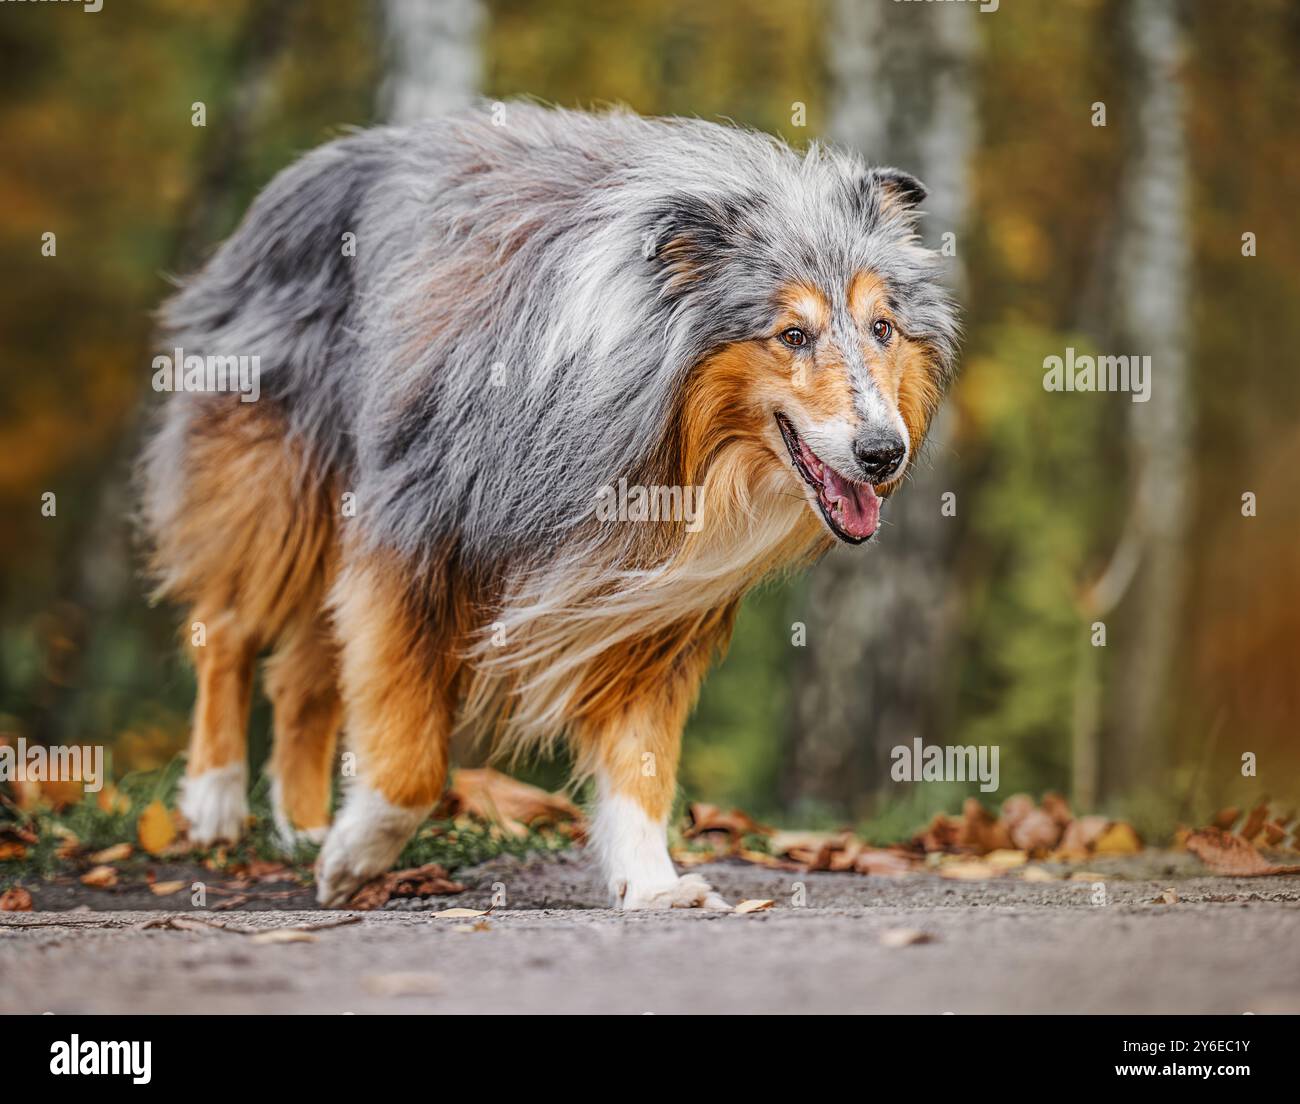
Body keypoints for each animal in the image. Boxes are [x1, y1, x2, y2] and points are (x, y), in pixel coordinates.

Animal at [139, 103, 956, 910]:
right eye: (791, 334)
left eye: (882, 327)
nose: (884, 454)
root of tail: (316, 161)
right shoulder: (414, 527)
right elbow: (412, 757)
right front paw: (357, 856)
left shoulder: (648, 594)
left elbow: (642, 751)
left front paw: (652, 885)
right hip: (281, 482)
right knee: (228, 627)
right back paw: (215, 803)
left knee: (299, 678)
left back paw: (301, 826)